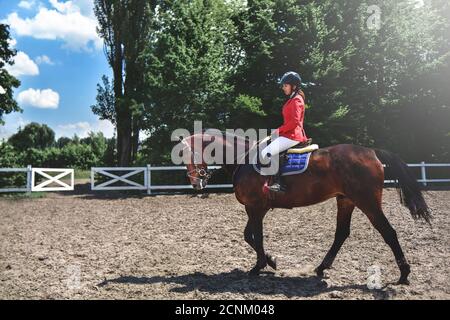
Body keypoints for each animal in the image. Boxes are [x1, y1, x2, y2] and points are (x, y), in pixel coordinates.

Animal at [178, 131, 428, 284]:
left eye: (187, 154)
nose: (196, 182)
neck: (244, 159)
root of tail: (370, 151)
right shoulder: (257, 208)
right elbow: (249, 236)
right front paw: (270, 261)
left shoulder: (255, 207)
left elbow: (255, 236)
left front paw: (260, 266)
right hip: (346, 201)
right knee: (341, 234)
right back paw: (321, 268)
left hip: (368, 202)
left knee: (389, 232)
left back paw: (404, 273)